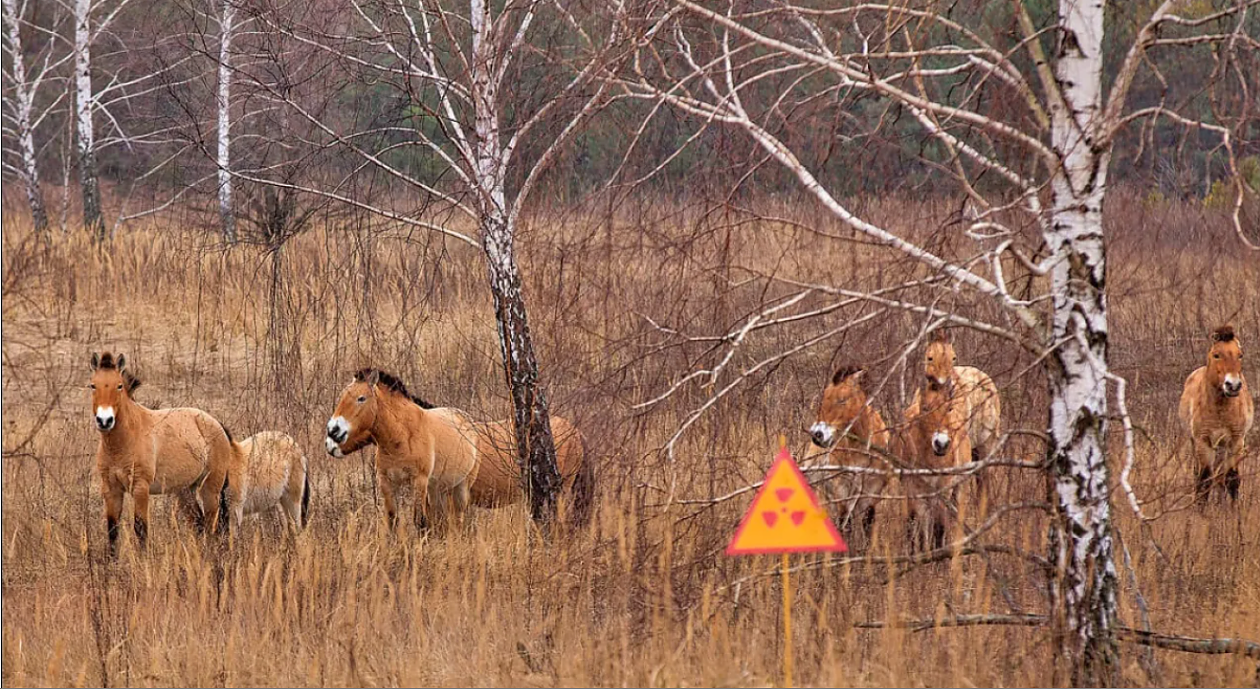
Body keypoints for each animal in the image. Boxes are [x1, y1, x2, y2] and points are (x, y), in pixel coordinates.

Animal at [88, 352, 234, 559]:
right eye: (93, 385)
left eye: (119, 385)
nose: (104, 420)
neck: (123, 442)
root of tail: (217, 424)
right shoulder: (111, 489)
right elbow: (112, 530)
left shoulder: (140, 488)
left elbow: (140, 529)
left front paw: (143, 563)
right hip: (185, 491)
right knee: (199, 523)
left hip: (211, 489)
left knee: (211, 525)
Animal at [327, 370, 597, 531]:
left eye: (361, 398)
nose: (332, 433)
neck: (406, 434)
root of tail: (576, 432)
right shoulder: (391, 482)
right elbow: (396, 520)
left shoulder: (423, 484)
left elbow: (422, 522)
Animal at [806, 367, 897, 549]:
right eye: (824, 397)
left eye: (842, 400)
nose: (817, 435)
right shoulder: (842, 489)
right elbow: (845, 526)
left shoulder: (872, 492)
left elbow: (867, 524)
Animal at [1174, 327, 1254, 503]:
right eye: (1217, 354)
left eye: (1240, 355)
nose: (1233, 385)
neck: (1220, 409)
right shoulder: (1203, 442)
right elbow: (1203, 481)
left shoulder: (1236, 441)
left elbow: (1232, 479)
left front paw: (1233, 509)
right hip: (1197, 443)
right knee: (1200, 475)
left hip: (1222, 447)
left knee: (1220, 477)